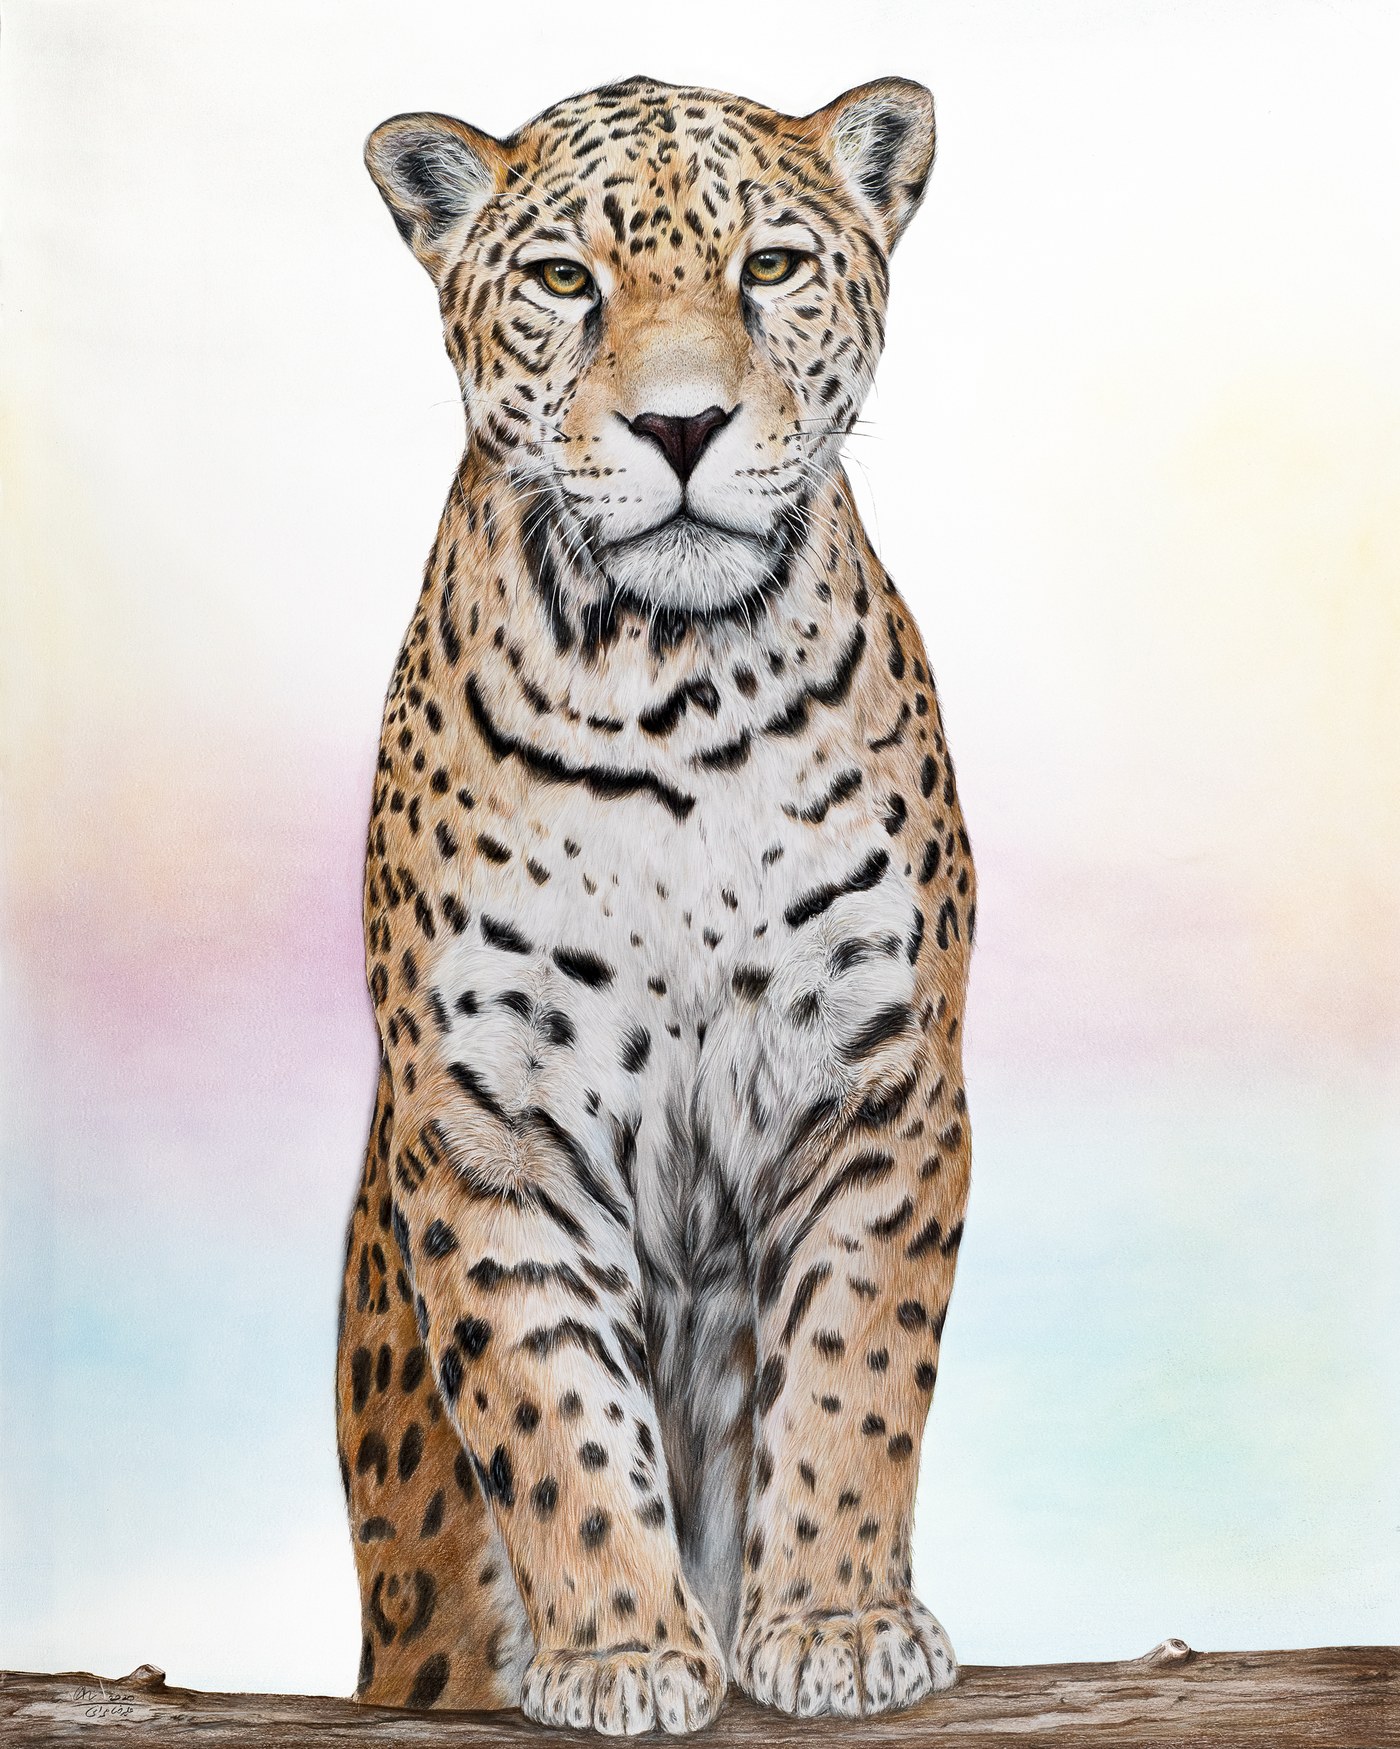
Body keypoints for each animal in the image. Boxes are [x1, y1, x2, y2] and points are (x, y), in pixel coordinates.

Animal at [335, 73, 975, 1735]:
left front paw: (834, 1625)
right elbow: (552, 1409)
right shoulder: (490, 1119)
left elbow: (853, 1373)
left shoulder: (880, 1077)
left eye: (771, 268)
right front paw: (623, 1653)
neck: (675, 689)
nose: (681, 423)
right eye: (568, 281)